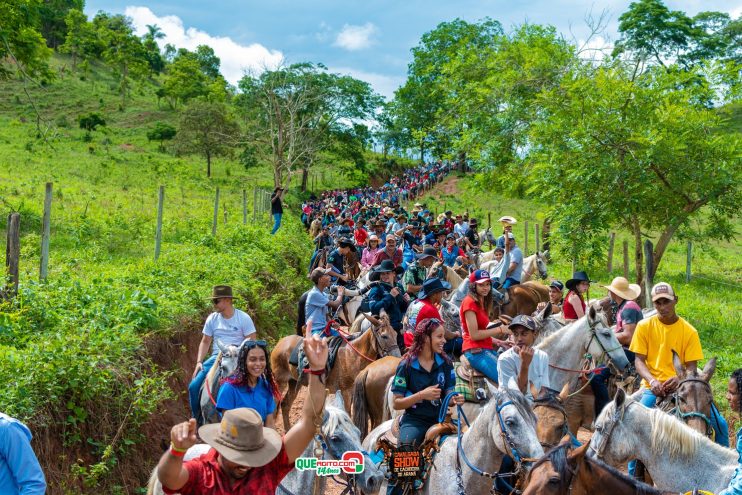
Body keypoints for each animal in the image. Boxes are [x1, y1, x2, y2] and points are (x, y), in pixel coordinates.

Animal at [272, 316, 402, 432]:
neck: (352, 356)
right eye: (384, 336)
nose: (397, 357)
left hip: (293, 383)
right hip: (280, 381)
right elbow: (348, 414)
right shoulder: (346, 391)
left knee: (285, 404)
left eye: (396, 334)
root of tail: (280, 343)